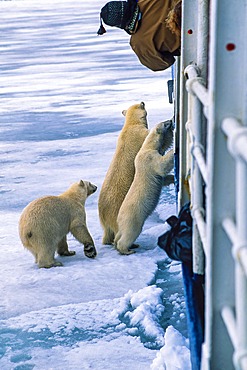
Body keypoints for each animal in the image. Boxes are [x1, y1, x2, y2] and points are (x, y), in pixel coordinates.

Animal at [114, 120, 174, 256]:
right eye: (164, 123)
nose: (171, 121)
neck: (146, 147)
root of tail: (119, 219)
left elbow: (163, 179)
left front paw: (173, 179)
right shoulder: (150, 159)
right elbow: (162, 165)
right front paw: (173, 151)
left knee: (120, 234)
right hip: (133, 217)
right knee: (131, 233)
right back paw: (127, 249)